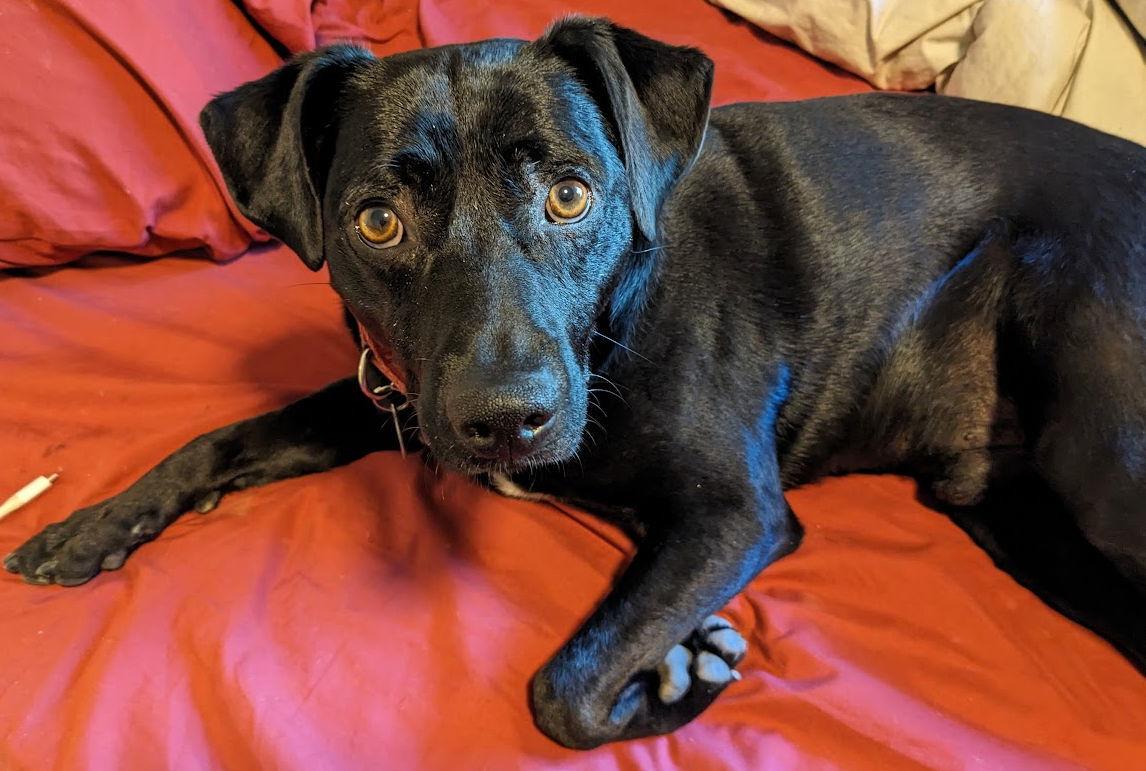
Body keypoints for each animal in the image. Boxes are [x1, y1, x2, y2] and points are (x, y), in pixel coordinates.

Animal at [4, 18, 1141, 746]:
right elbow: (232, 434)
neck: (612, 329)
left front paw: (679, 681)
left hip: (1099, 442)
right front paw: (94, 526)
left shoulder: (734, 512)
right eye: (376, 220)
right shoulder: (406, 392)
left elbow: (566, 688)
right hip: (1018, 521)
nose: (508, 422)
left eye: (568, 194)